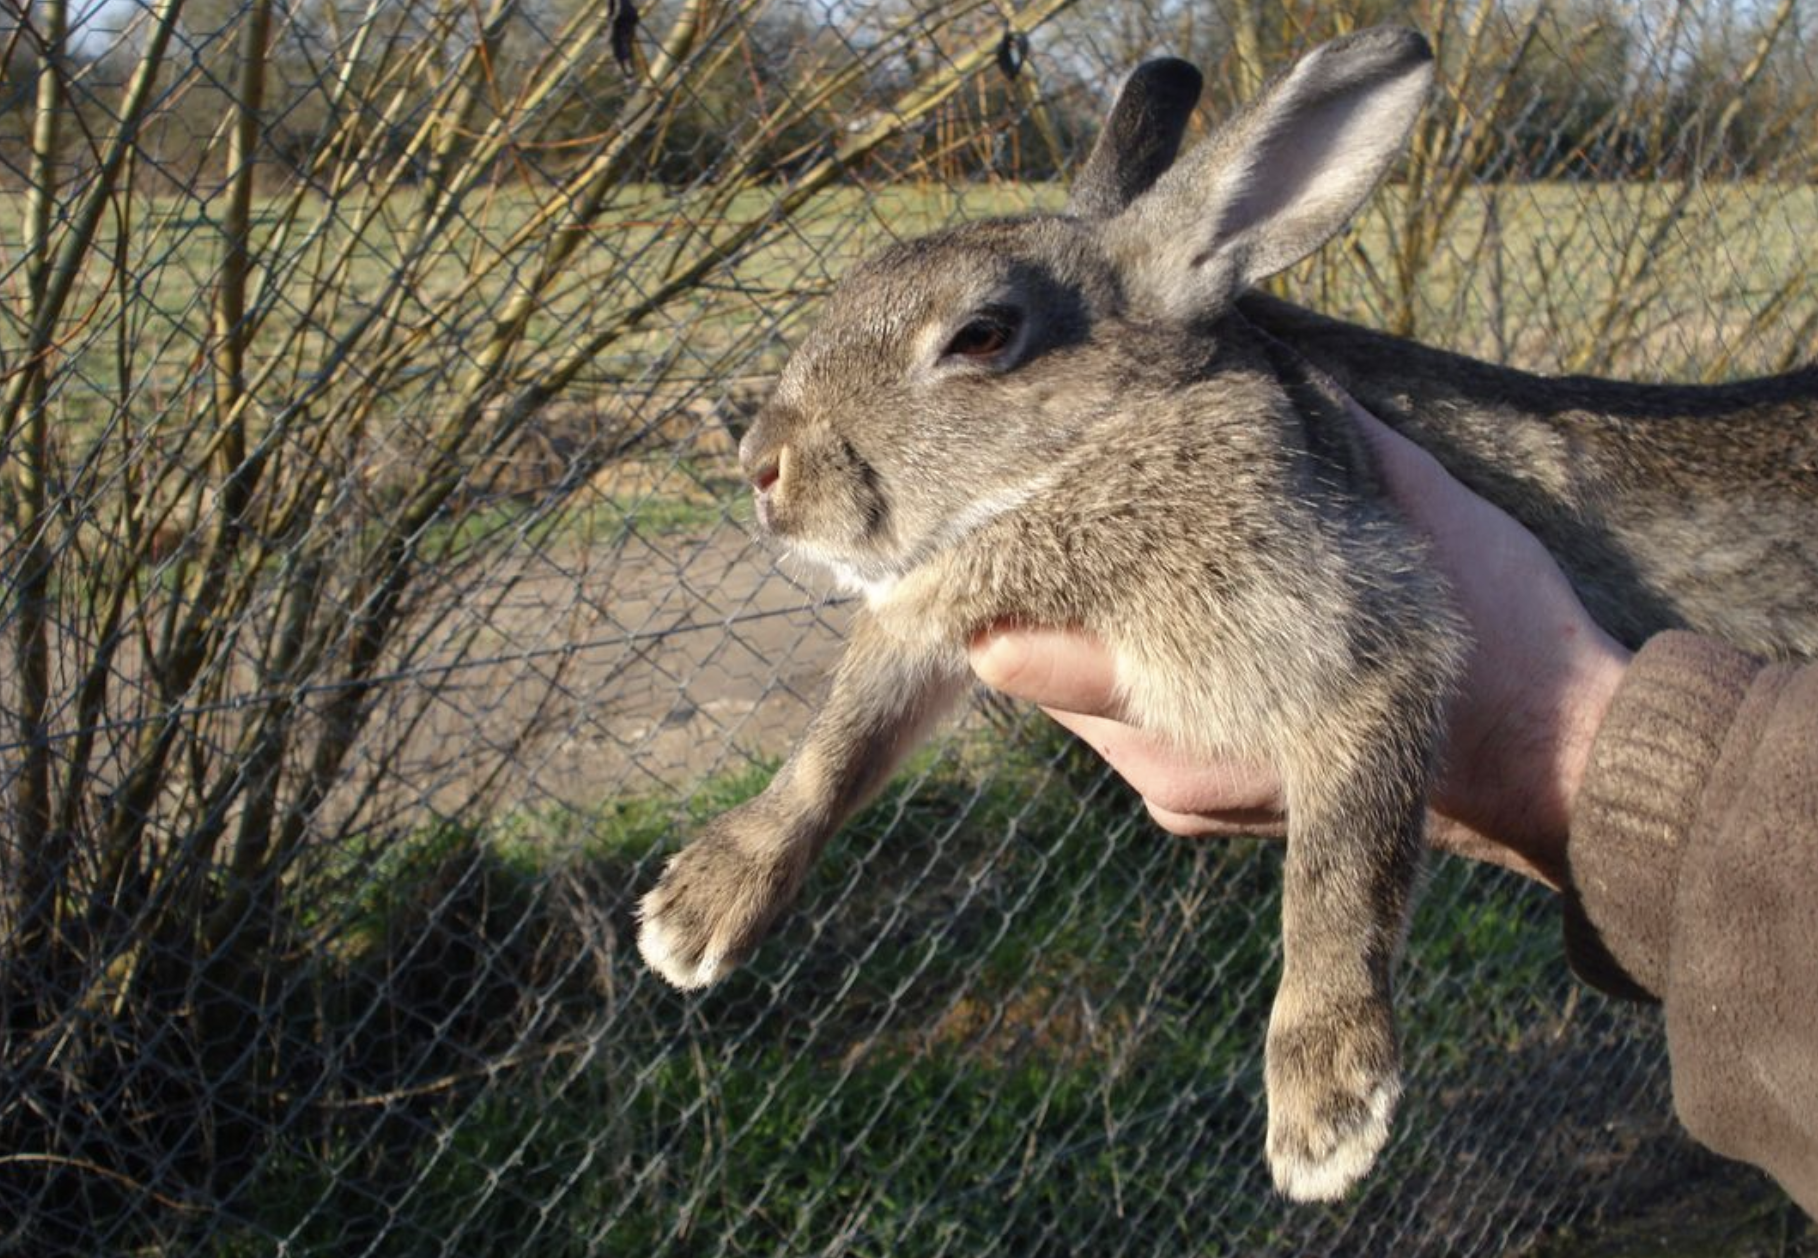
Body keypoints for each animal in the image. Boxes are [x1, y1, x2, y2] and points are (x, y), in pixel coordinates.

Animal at [637, 26, 1818, 1203]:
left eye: (979, 335)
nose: (762, 470)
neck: (1093, 451)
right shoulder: (923, 627)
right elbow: (834, 749)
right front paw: (693, 918)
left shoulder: (1365, 643)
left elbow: (1337, 873)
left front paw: (1326, 1110)